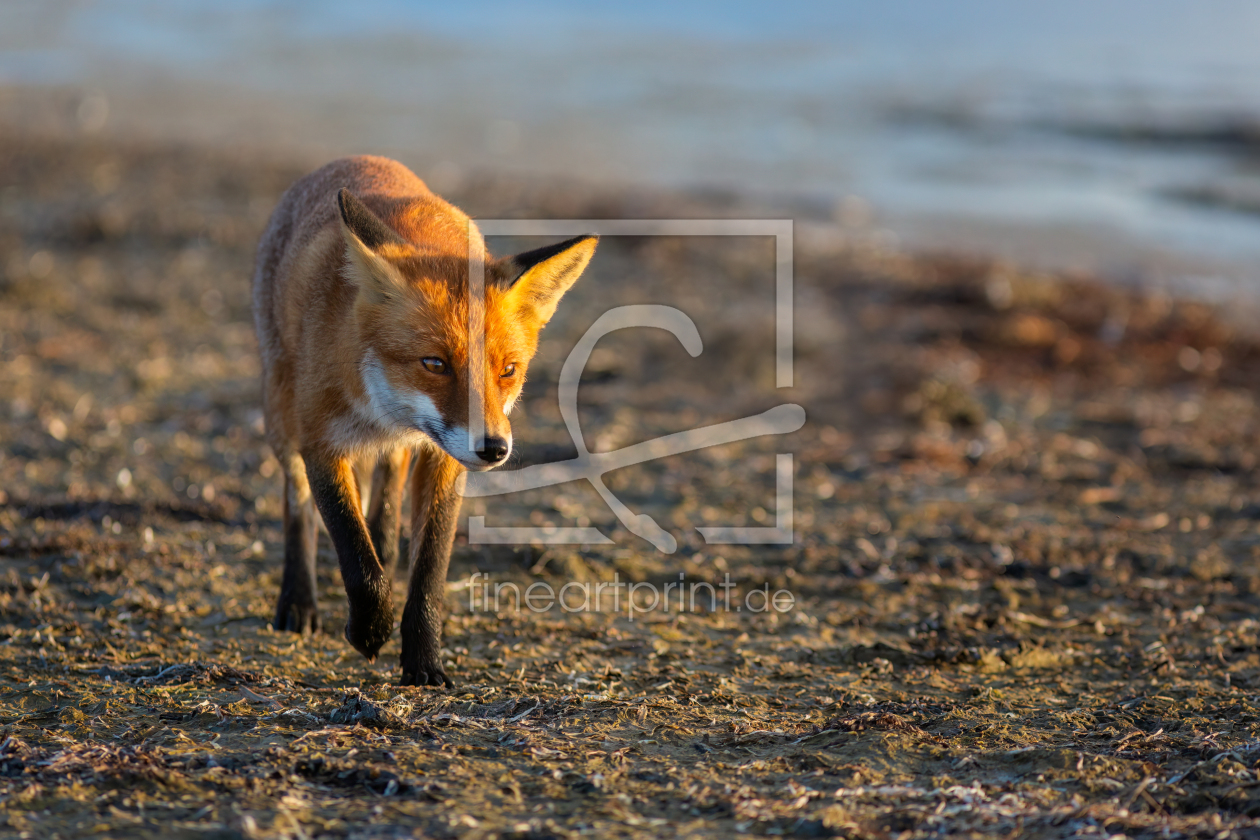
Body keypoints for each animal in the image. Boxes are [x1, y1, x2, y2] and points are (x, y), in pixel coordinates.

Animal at [252, 155, 596, 686]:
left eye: (508, 370)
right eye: (435, 364)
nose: (493, 448)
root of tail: (353, 159)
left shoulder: (444, 458)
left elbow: (429, 568)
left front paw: (423, 662)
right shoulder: (321, 444)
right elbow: (355, 555)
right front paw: (370, 630)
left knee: (385, 496)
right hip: (280, 413)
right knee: (298, 507)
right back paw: (299, 600)